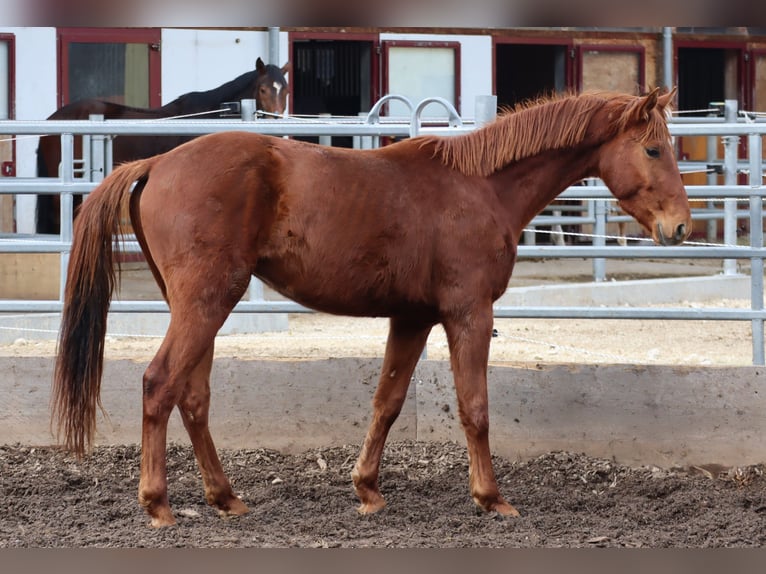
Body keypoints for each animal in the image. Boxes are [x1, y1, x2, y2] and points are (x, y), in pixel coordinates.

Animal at [52, 86, 688, 528]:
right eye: (653, 148)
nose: (679, 226)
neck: (479, 188)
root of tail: (157, 164)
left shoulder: (412, 318)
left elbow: (387, 402)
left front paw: (368, 490)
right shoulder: (469, 314)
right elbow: (475, 407)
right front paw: (491, 498)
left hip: (199, 306)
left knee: (193, 396)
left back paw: (226, 498)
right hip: (206, 302)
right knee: (160, 384)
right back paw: (158, 506)